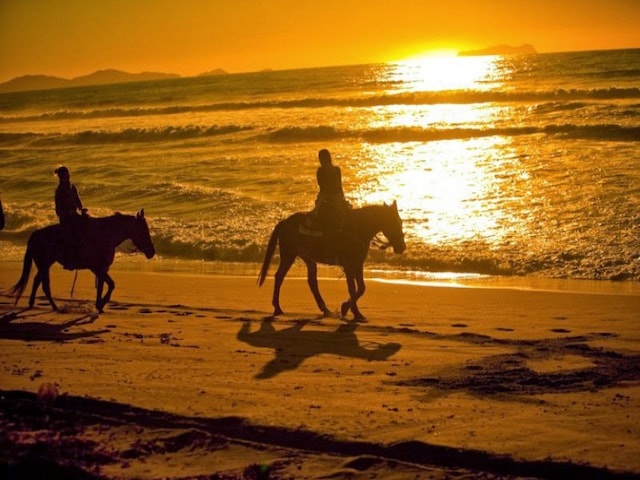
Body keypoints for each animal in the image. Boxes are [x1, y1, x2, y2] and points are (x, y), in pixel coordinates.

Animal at [9, 209, 155, 313]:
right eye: (143, 230)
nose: (152, 252)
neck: (106, 236)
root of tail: (35, 234)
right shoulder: (98, 268)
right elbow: (109, 285)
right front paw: (101, 304)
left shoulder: (100, 269)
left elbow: (104, 286)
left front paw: (99, 305)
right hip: (44, 264)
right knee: (44, 285)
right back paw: (54, 307)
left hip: (45, 264)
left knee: (36, 281)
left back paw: (33, 304)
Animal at [258, 201, 406, 321]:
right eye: (393, 222)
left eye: (400, 221)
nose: (402, 247)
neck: (358, 228)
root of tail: (284, 222)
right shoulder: (349, 265)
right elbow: (352, 288)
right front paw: (355, 313)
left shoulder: (358, 264)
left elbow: (361, 288)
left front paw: (346, 308)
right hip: (289, 254)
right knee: (279, 276)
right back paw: (277, 308)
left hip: (308, 258)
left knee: (312, 282)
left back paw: (325, 309)